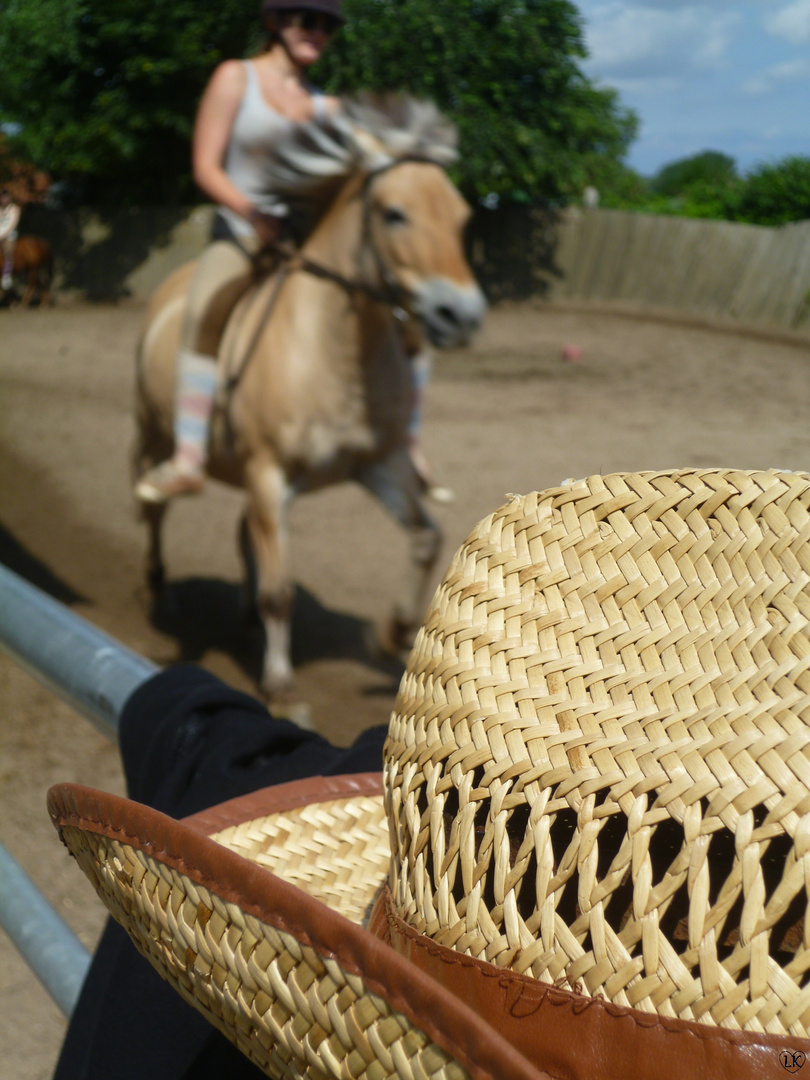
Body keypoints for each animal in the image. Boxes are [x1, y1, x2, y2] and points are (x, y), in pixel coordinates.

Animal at [135, 99, 488, 708]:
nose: (461, 316)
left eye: (463, 216)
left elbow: (426, 538)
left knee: (243, 535)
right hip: (157, 431)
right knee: (153, 503)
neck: (332, 352)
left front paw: (388, 634)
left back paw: (243, 620)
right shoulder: (267, 471)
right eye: (394, 214)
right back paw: (158, 583)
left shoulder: (378, 464)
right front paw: (280, 688)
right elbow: (280, 591)